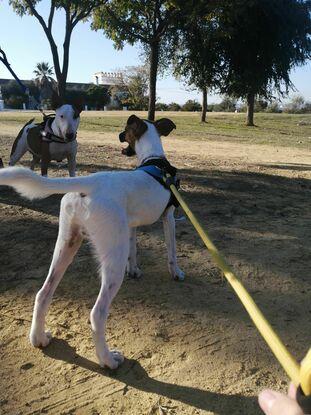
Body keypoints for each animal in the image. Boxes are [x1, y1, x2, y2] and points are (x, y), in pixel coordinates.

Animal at [0, 114, 185, 370]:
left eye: (126, 132)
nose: (118, 135)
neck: (154, 160)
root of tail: (90, 182)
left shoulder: (131, 226)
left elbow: (134, 251)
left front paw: (135, 270)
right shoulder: (169, 217)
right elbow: (171, 251)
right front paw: (176, 272)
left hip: (67, 243)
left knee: (43, 293)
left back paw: (38, 338)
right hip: (112, 260)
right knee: (97, 313)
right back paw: (107, 359)